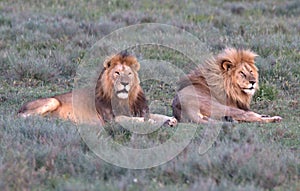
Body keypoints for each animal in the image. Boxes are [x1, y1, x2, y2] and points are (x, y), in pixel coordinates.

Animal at [18, 51, 177, 127]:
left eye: (129, 74)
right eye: (117, 73)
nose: (125, 83)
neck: (123, 99)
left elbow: (155, 115)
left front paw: (170, 120)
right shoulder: (111, 120)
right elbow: (130, 120)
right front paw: (149, 123)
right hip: (52, 101)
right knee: (23, 117)